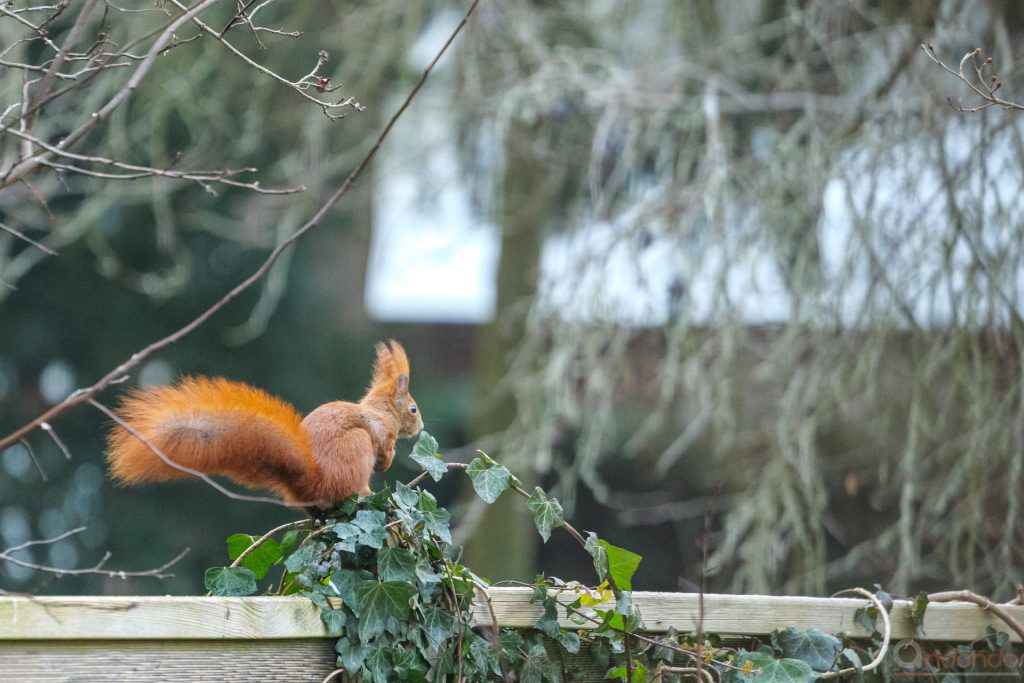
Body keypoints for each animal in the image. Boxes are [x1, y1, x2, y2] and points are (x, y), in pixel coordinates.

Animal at [104, 342, 423, 511]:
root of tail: (313, 481)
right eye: (413, 409)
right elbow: (383, 445)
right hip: (354, 446)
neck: (380, 409)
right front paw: (387, 461)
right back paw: (366, 494)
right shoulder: (378, 428)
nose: (421, 428)